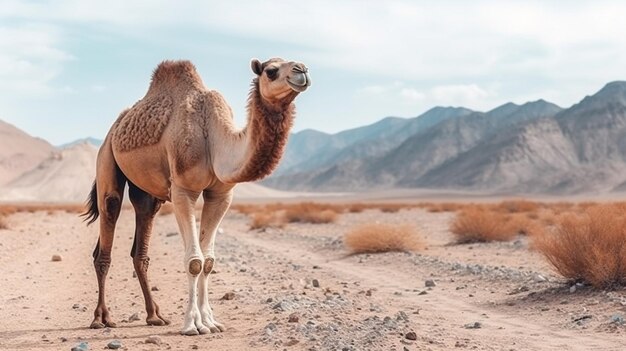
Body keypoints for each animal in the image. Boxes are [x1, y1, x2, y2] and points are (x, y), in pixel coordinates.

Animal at [80, 57, 310, 336]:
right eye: (271, 71)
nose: (302, 71)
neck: (213, 136)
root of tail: (114, 129)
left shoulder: (221, 195)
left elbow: (208, 261)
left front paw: (210, 321)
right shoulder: (182, 190)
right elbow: (194, 261)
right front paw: (192, 324)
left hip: (147, 194)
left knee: (141, 242)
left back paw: (155, 316)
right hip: (106, 161)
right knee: (107, 223)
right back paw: (101, 318)